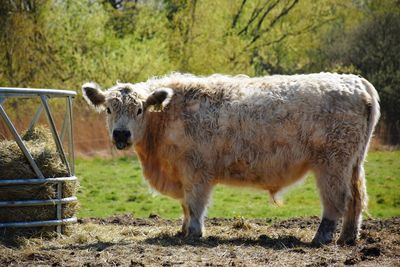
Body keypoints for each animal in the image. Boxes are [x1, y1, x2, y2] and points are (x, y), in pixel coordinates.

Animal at [82, 72, 382, 246]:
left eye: (140, 109)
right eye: (108, 109)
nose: (121, 134)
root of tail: (356, 81)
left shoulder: (195, 171)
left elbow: (194, 204)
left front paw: (194, 233)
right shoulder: (182, 173)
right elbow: (185, 205)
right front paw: (181, 230)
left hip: (332, 163)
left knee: (337, 201)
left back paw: (321, 238)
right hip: (353, 163)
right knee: (357, 198)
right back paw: (348, 238)